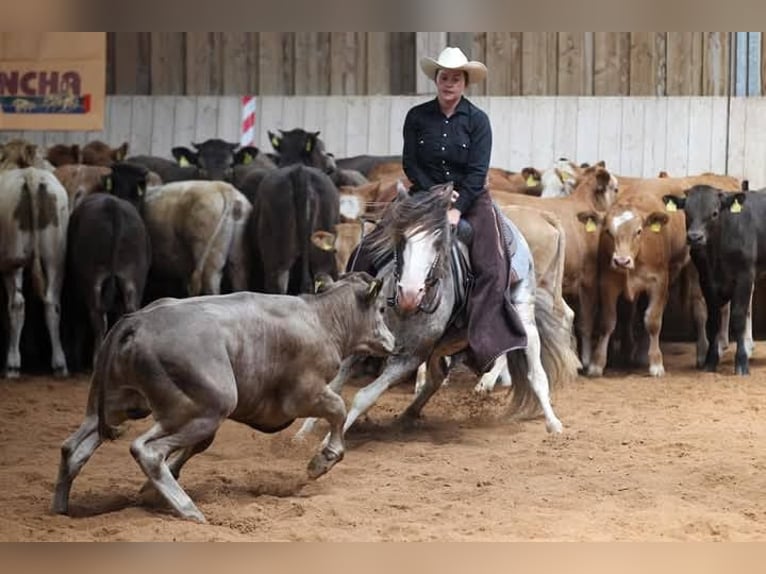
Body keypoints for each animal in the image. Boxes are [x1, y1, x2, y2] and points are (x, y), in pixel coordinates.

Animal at [52, 272, 396, 524]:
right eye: (381, 309)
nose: (392, 341)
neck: (320, 318)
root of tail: (135, 320)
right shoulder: (304, 394)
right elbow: (337, 410)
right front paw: (321, 461)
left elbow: (199, 446)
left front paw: (149, 490)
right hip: (204, 407)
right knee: (146, 450)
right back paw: (189, 510)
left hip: (120, 406)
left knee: (73, 448)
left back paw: (60, 508)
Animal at [296, 184, 580, 440]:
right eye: (400, 240)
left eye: (438, 244)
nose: (411, 292)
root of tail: (541, 216)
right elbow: (334, 384)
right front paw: (303, 432)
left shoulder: (409, 356)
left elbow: (364, 396)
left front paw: (327, 446)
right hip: (447, 342)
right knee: (437, 376)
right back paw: (410, 413)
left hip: (523, 314)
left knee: (534, 367)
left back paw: (549, 420)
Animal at [660, 187, 766, 378]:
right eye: (687, 211)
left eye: (714, 213)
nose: (695, 237)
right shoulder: (706, 281)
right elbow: (713, 321)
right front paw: (710, 361)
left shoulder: (745, 276)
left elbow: (738, 317)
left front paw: (741, 363)